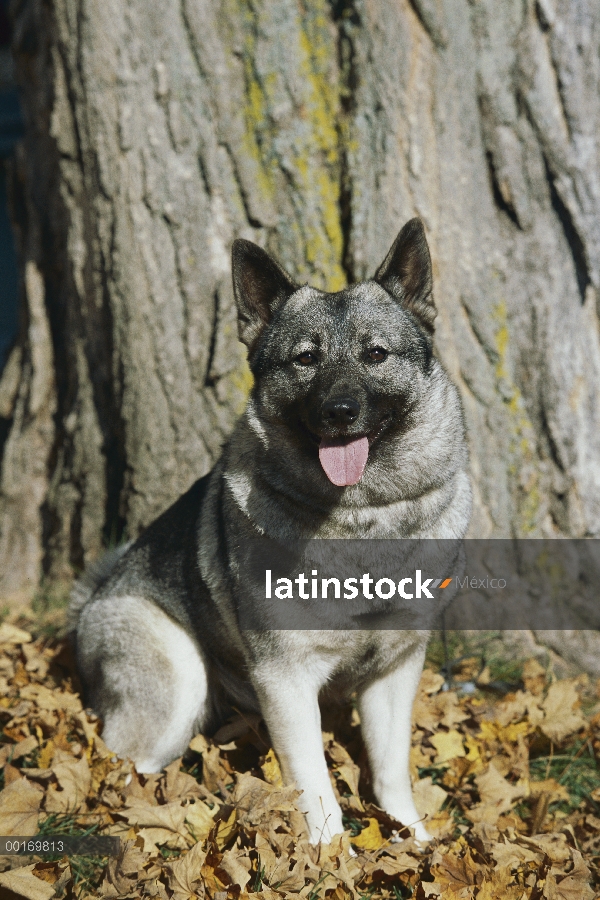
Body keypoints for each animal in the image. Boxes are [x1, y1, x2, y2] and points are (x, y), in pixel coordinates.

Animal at [72, 218, 472, 844]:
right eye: (305, 359)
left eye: (375, 354)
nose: (339, 411)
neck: (360, 516)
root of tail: (92, 602)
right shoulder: (286, 679)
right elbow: (314, 782)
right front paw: (332, 855)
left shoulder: (394, 672)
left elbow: (390, 770)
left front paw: (414, 840)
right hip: (178, 680)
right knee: (126, 765)